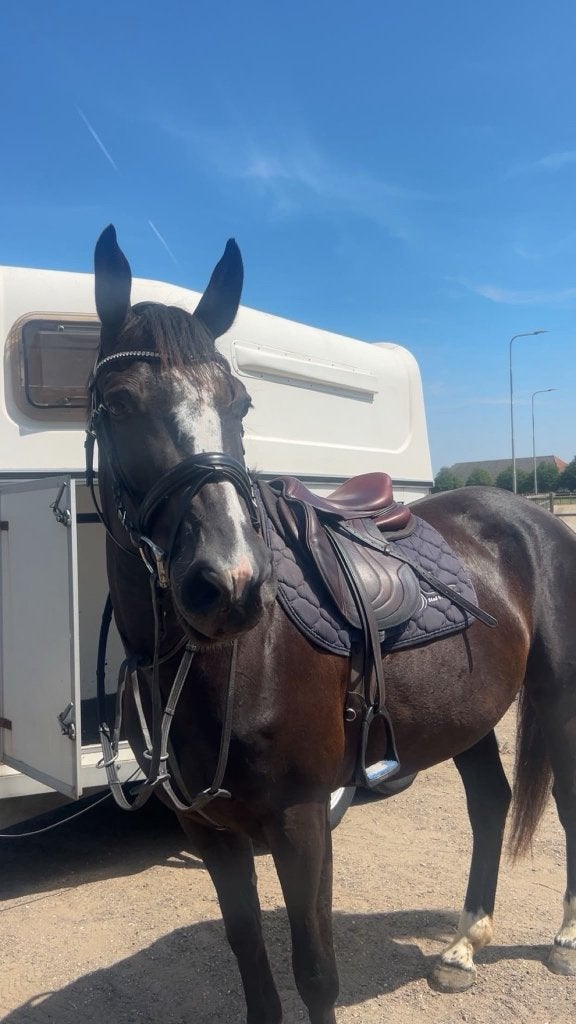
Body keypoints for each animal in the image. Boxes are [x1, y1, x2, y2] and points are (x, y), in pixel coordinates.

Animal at [88, 223, 576, 1024]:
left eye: (240, 401)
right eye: (118, 404)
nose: (230, 583)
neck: (225, 664)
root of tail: (532, 518)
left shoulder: (302, 819)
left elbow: (314, 970)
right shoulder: (209, 832)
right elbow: (251, 958)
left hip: (559, 702)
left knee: (564, 804)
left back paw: (563, 938)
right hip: (463, 712)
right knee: (489, 805)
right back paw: (464, 945)